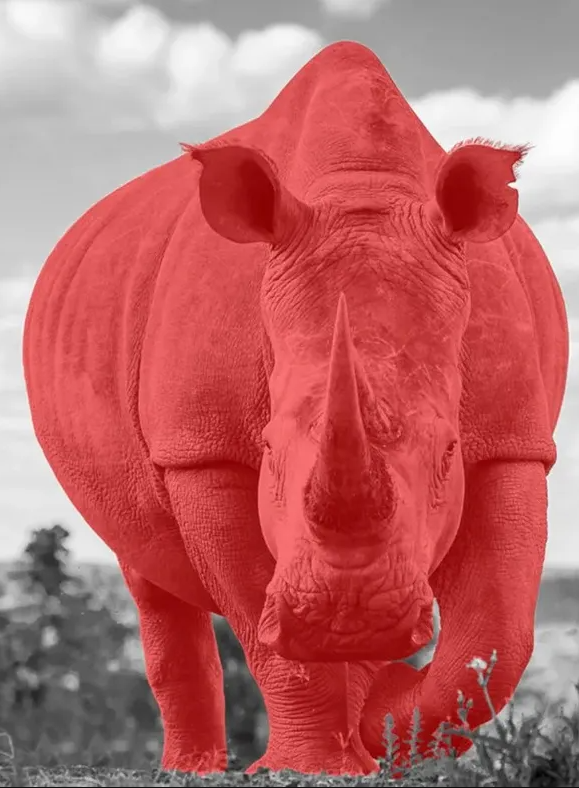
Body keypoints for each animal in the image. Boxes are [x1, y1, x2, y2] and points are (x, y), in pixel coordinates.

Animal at [23, 41, 568, 775]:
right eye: (268, 453)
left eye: (448, 452)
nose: (349, 614)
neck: (361, 192)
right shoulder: (202, 450)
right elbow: (261, 623)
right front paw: (316, 762)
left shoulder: (514, 437)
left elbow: (498, 628)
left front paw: (381, 718)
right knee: (145, 570)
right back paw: (194, 767)